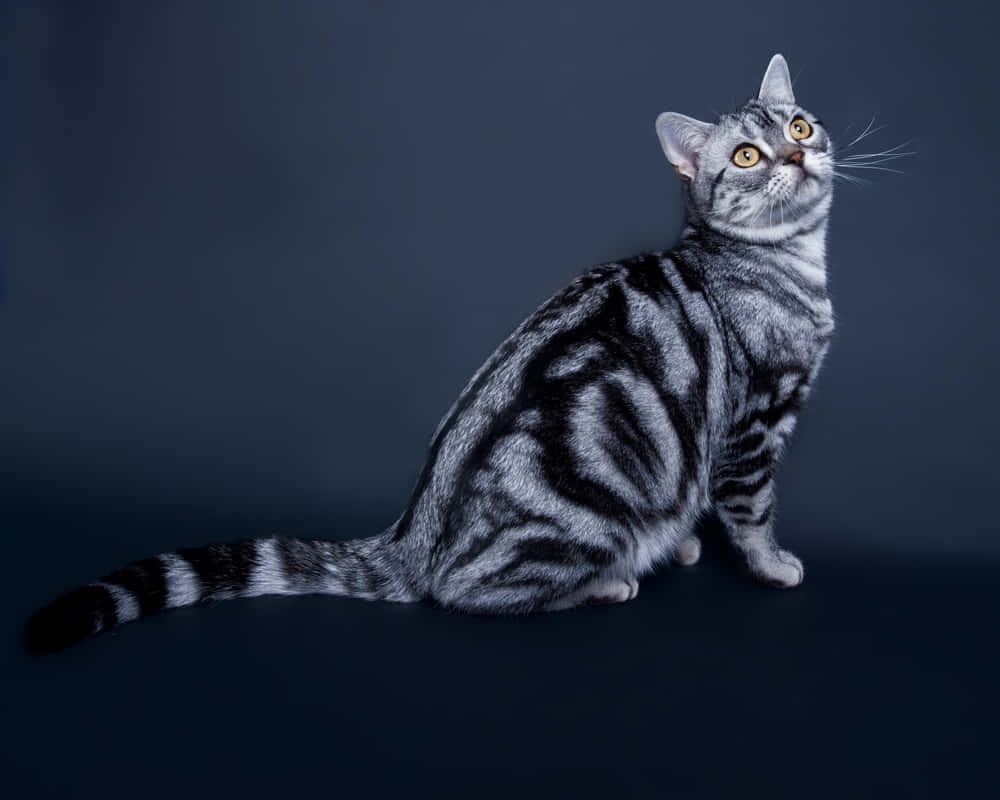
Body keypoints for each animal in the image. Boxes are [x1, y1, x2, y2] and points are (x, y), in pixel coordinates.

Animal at [23, 53, 836, 652]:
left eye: (799, 124)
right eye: (747, 154)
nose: (795, 155)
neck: (784, 261)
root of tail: (411, 537)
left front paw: (697, 545)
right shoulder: (757, 417)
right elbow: (751, 510)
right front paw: (770, 566)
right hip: (578, 520)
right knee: (467, 591)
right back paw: (606, 580)